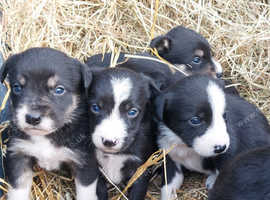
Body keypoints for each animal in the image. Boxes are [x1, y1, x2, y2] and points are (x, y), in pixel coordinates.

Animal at [0, 48, 105, 200]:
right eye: (17, 87)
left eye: (59, 90)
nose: (32, 118)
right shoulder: (19, 155)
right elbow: (17, 190)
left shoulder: (85, 161)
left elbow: (86, 193)